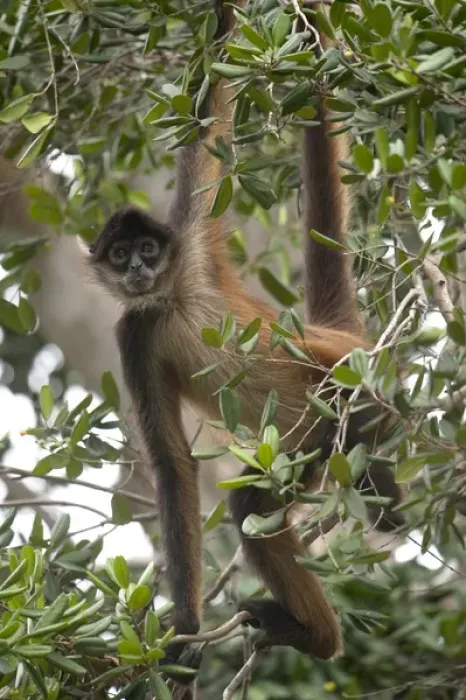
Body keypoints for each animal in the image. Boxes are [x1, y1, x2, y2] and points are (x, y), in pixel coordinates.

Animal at [88, 0, 404, 669]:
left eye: (148, 249)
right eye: (120, 253)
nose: (136, 271)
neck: (171, 297)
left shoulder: (191, 240)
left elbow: (209, 101)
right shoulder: (133, 331)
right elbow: (174, 466)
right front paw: (185, 626)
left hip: (335, 383)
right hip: (301, 451)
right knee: (254, 507)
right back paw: (316, 636)